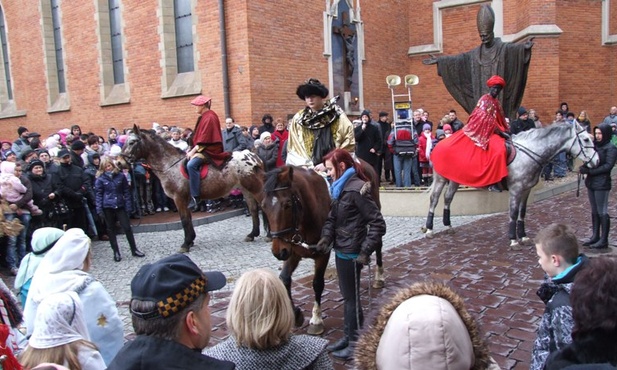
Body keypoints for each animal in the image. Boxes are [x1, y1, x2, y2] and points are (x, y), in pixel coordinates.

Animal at [258, 162, 382, 336]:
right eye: (263, 206)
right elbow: (284, 279)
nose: (278, 251)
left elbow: (317, 283)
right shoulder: (293, 251)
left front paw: (316, 320)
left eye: (287, 204)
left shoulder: (323, 253)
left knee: (378, 243)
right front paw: (296, 314)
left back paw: (379, 277)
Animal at [424, 122, 596, 249]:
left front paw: (524, 236)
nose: (596, 161)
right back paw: (429, 229)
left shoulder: (526, 190)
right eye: (586, 139)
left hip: (454, 179)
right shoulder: (516, 189)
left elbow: (522, 213)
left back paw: (448, 226)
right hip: (440, 179)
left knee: (448, 198)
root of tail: (439, 144)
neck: (529, 153)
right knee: (434, 200)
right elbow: (513, 213)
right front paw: (513, 240)